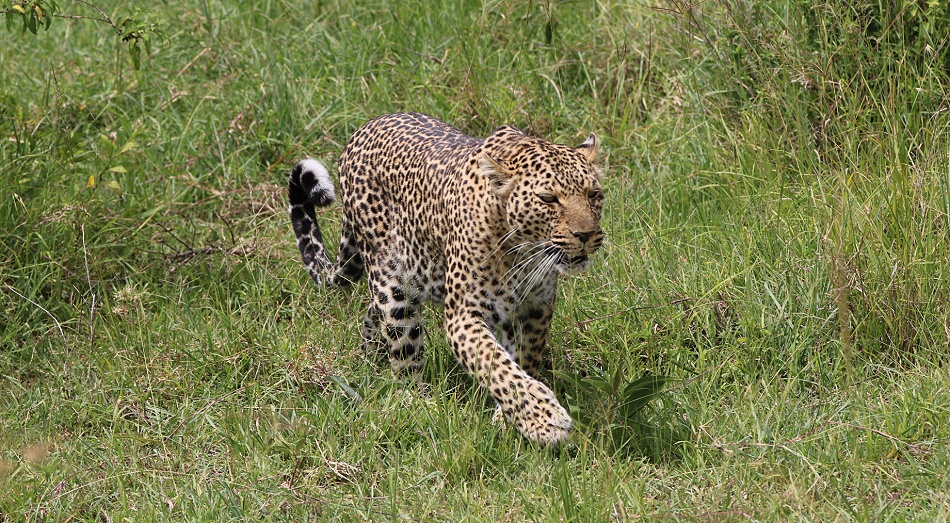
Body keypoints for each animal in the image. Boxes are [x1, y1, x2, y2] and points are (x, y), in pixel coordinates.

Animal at [288, 112, 604, 445]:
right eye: (548, 198)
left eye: (594, 194)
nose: (586, 235)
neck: (524, 252)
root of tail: (363, 129)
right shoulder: (464, 315)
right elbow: (497, 366)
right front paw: (544, 420)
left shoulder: (534, 309)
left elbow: (521, 360)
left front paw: (507, 423)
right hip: (393, 290)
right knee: (404, 354)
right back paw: (420, 406)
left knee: (372, 315)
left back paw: (366, 360)